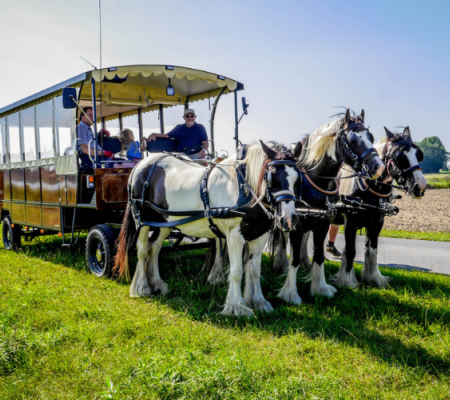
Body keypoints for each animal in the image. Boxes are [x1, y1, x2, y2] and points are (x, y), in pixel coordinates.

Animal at [272, 108, 384, 304]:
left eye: (370, 136)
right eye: (353, 140)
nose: (378, 167)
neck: (313, 183)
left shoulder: (323, 223)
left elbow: (318, 255)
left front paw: (320, 288)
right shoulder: (296, 225)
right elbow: (294, 258)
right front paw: (290, 293)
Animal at [334, 126, 428, 286]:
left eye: (418, 154)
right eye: (399, 156)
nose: (420, 186)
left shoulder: (377, 222)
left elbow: (372, 250)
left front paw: (373, 278)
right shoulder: (350, 221)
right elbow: (351, 250)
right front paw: (347, 280)